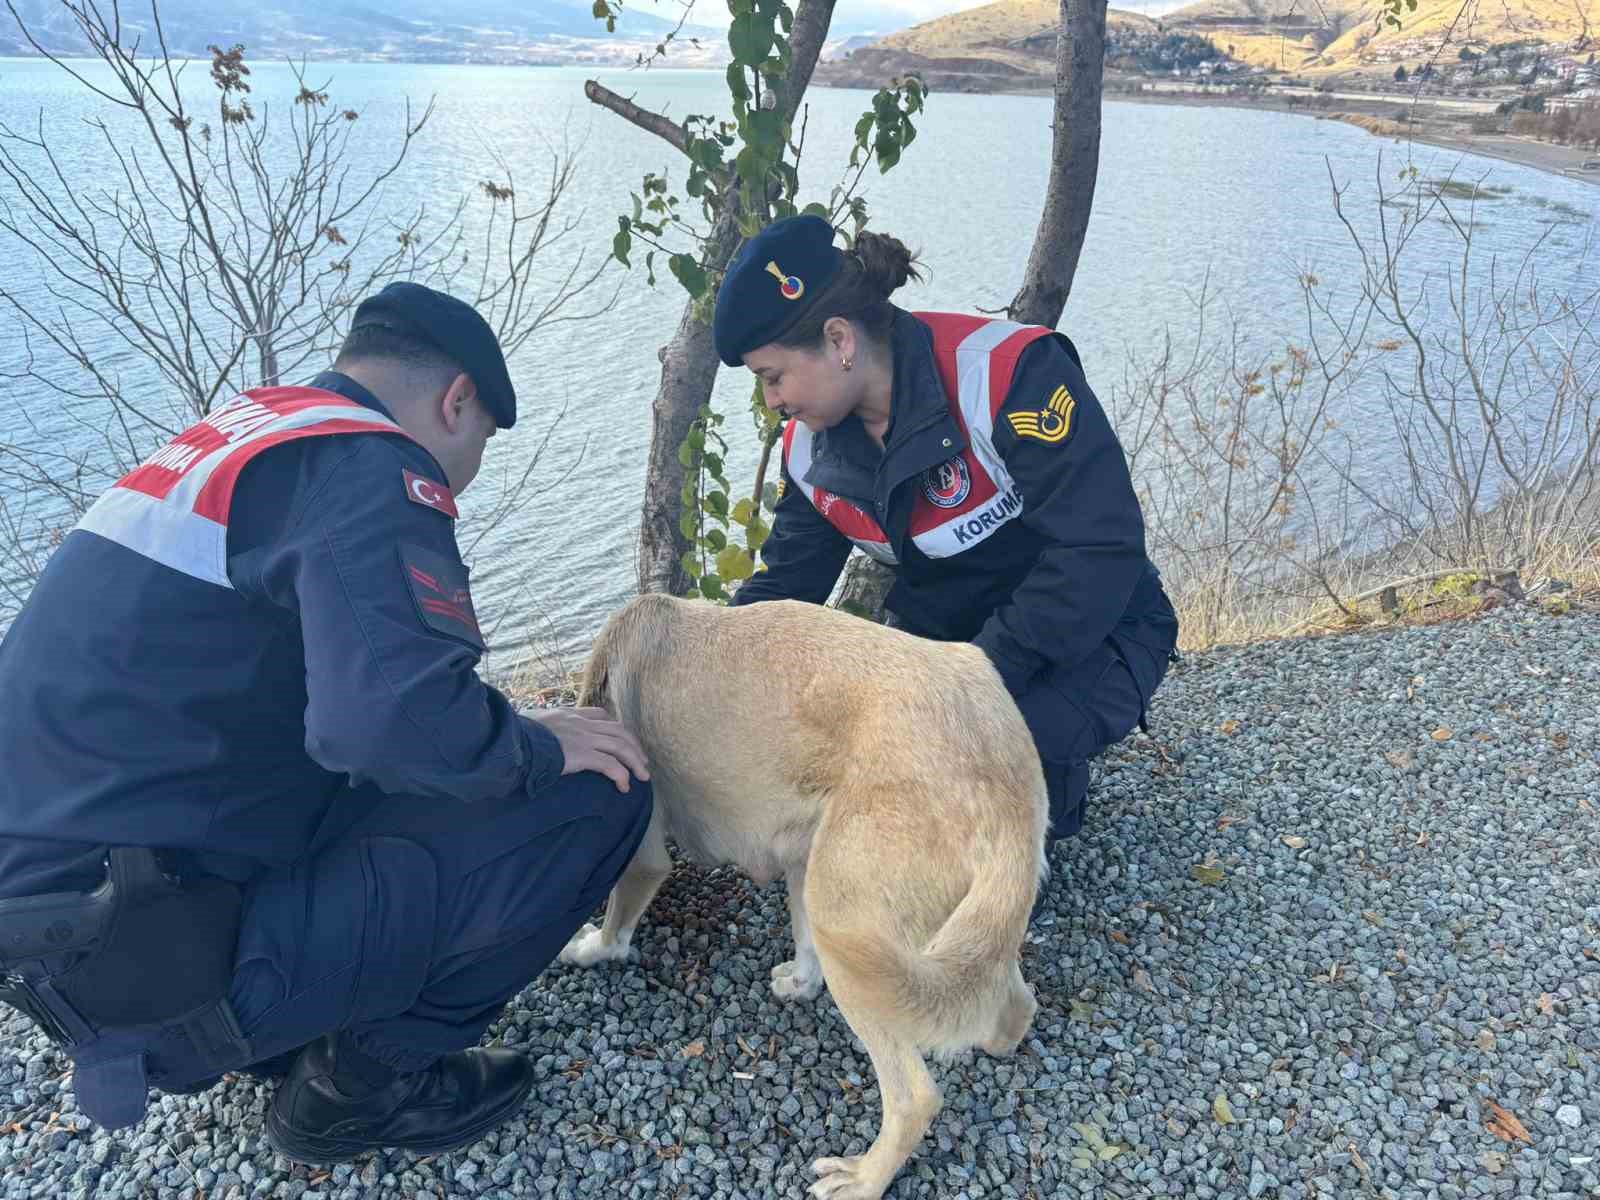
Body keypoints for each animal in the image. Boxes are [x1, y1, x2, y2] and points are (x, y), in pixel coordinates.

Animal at [563, 598, 1049, 1196]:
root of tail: (1002, 777)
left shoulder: (645, 854)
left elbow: (614, 928)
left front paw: (588, 948)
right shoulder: (796, 856)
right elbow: (804, 946)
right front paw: (799, 983)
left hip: (849, 920)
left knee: (914, 1098)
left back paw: (863, 1178)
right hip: (918, 921)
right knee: (1013, 1002)